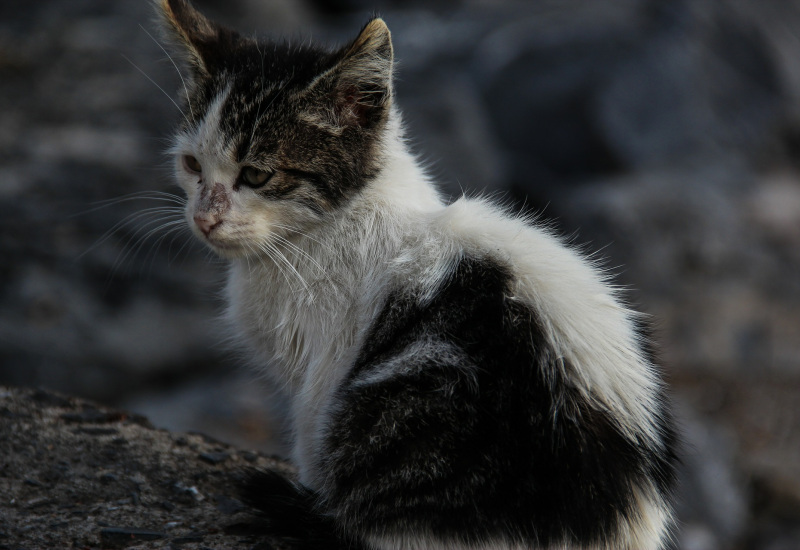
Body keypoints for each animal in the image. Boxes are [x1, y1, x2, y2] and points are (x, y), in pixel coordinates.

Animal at [159, 0, 680, 548]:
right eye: (192, 164)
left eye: (257, 174)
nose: (204, 218)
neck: (339, 221)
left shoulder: (322, 371)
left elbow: (310, 430)